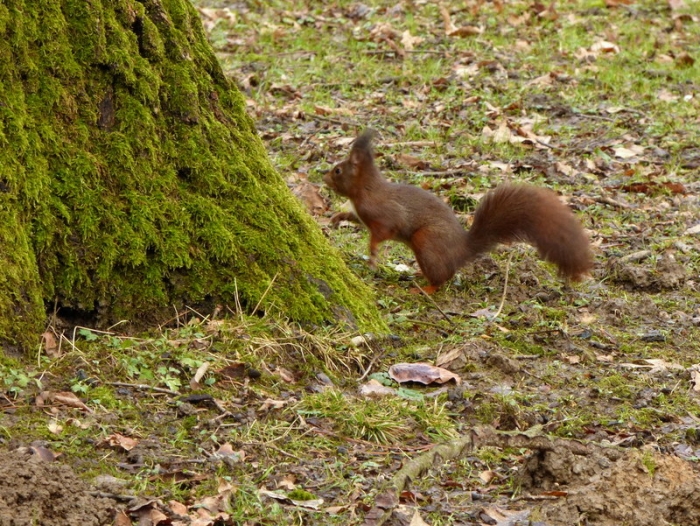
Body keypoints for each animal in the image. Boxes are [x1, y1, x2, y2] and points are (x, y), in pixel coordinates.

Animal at [323, 130, 593, 293]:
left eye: (337, 170)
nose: (324, 178)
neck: (365, 190)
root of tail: (462, 250)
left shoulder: (385, 214)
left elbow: (382, 233)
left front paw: (372, 253)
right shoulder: (361, 213)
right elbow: (352, 218)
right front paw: (336, 218)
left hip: (426, 241)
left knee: (443, 278)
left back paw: (425, 288)